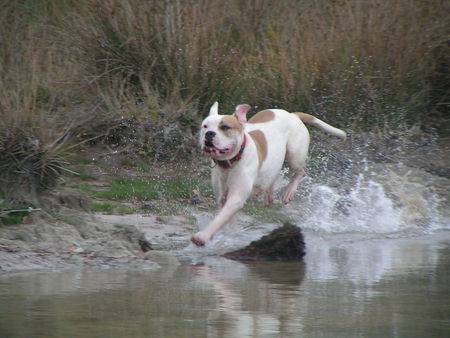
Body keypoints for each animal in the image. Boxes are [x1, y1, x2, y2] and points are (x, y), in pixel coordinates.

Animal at [192, 101, 346, 247]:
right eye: (205, 126)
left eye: (225, 127)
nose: (209, 134)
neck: (229, 163)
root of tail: (292, 115)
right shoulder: (221, 197)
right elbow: (225, 218)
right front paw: (228, 234)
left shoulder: (236, 198)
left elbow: (221, 217)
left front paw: (203, 236)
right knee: (273, 175)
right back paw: (268, 194)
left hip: (294, 155)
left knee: (300, 171)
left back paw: (289, 191)